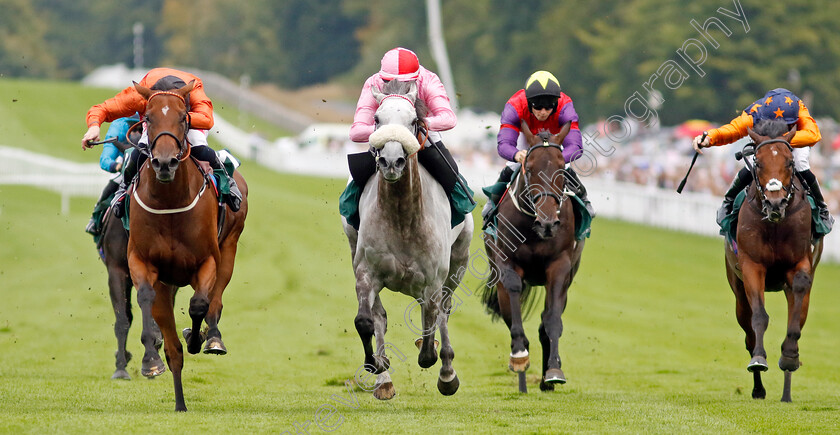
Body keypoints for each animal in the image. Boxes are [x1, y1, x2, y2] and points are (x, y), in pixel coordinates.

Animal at [126, 82, 248, 412]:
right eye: (148, 118)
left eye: (184, 117)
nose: (165, 162)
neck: (170, 202)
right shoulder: (141, 261)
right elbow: (145, 297)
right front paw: (151, 359)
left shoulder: (207, 261)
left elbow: (199, 304)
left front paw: (197, 336)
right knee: (174, 350)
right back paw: (179, 402)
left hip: (230, 247)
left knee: (215, 300)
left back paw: (212, 337)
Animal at [340, 79, 472, 402]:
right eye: (377, 119)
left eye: (413, 121)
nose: (391, 162)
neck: (402, 217)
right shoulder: (366, 273)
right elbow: (366, 320)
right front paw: (376, 364)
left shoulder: (433, 280)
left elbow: (430, 326)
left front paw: (435, 358)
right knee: (380, 316)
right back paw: (384, 380)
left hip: (459, 262)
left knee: (444, 312)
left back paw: (447, 373)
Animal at [480, 129, 584, 392]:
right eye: (530, 168)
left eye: (561, 168)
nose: (547, 224)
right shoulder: (507, 262)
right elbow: (514, 295)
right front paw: (519, 355)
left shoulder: (560, 266)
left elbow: (552, 320)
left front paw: (554, 370)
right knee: (509, 314)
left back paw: (546, 379)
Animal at [724, 119, 824, 402]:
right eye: (758, 162)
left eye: (789, 162)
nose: (775, 201)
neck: (776, 223)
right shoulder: (751, 266)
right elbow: (759, 316)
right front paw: (759, 359)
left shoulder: (801, 262)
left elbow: (797, 305)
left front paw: (789, 356)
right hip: (737, 292)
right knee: (748, 332)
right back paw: (758, 388)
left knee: (797, 320)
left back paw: (787, 389)